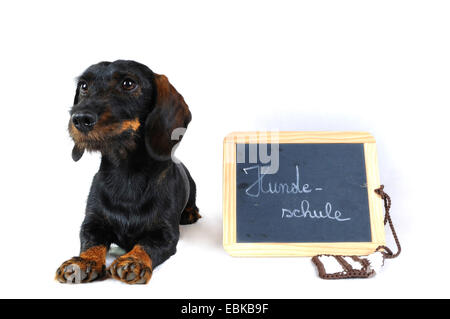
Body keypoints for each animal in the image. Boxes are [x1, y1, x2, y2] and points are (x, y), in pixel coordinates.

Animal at [55, 60, 200, 284]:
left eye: (128, 83)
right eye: (84, 86)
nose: (79, 119)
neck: (126, 175)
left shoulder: (165, 234)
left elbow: (146, 245)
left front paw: (134, 260)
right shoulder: (91, 224)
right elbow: (91, 243)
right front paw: (83, 261)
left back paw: (191, 212)